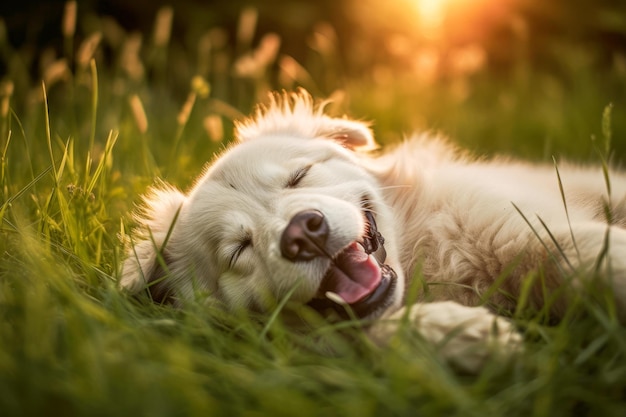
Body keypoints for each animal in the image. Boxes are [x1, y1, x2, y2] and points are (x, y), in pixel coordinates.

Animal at [120, 90, 624, 370]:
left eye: (298, 177)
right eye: (239, 249)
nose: (304, 233)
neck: (427, 268)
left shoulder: (522, 229)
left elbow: (577, 252)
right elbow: (370, 335)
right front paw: (460, 334)